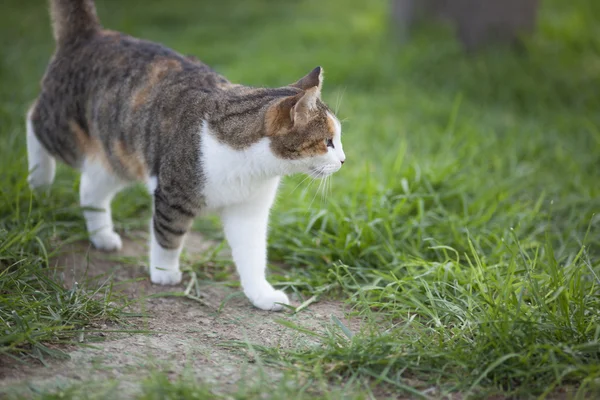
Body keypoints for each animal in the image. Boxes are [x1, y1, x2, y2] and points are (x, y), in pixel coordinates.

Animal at [28, 0, 346, 310]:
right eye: (328, 142)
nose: (344, 160)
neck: (252, 167)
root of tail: (90, 33)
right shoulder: (173, 194)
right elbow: (168, 236)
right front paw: (165, 273)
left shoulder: (249, 210)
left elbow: (253, 254)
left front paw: (261, 294)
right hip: (65, 132)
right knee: (32, 119)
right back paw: (39, 181)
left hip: (118, 156)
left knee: (91, 188)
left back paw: (102, 235)